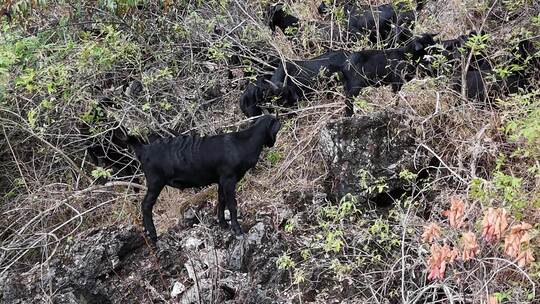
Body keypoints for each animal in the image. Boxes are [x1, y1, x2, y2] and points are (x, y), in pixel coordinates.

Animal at [126, 115, 278, 243]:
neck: (242, 143)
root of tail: (144, 149)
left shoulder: (221, 180)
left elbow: (221, 201)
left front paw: (223, 224)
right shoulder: (229, 179)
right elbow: (232, 205)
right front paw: (237, 229)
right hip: (155, 182)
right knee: (146, 205)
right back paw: (152, 234)